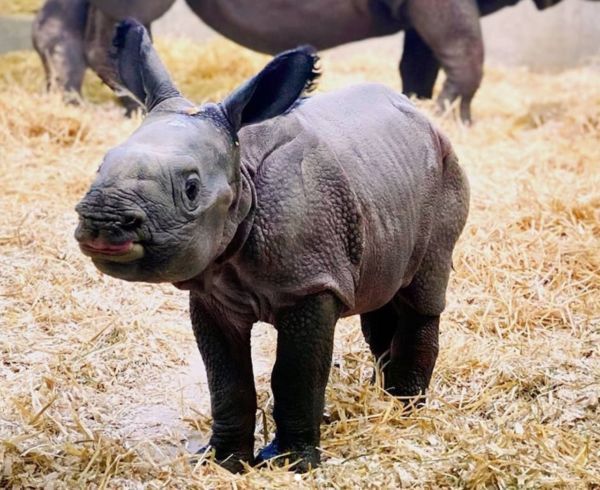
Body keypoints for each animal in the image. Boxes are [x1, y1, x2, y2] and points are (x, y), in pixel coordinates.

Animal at [75, 20, 468, 474]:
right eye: (100, 165)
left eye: (191, 189)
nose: (103, 219)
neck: (241, 174)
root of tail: (426, 119)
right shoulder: (212, 292)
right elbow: (226, 379)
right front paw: (224, 461)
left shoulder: (311, 283)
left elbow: (295, 374)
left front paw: (292, 464)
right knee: (381, 296)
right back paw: (379, 399)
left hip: (447, 173)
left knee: (422, 294)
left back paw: (405, 410)